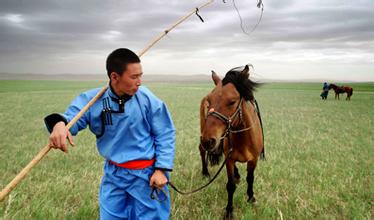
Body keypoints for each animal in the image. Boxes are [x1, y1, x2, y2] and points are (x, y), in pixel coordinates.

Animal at [197, 65, 264, 218]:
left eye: (232, 101)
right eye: (210, 100)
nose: (208, 140)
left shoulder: (254, 160)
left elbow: (250, 178)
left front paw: (251, 198)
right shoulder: (229, 160)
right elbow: (230, 185)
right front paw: (229, 210)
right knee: (201, 150)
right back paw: (205, 172)